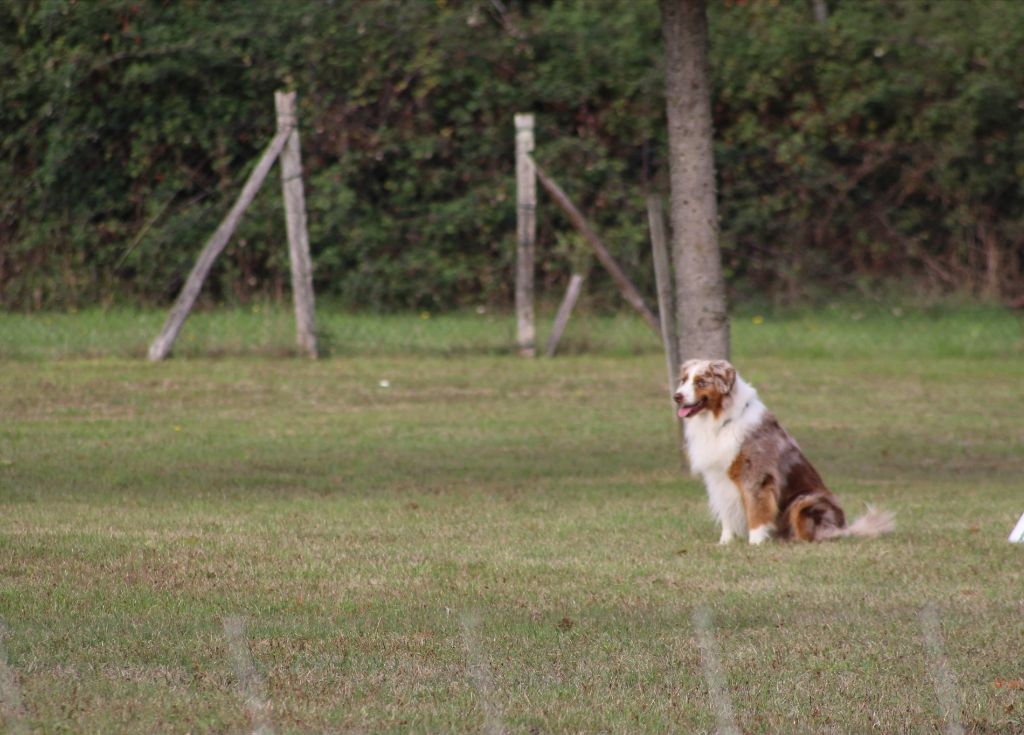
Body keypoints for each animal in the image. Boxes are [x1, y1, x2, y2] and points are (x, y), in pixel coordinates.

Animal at [671, 360, 888, 544]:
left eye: (700, 382)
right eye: (683, 380)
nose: (676, 396)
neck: (723, 421)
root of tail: (845, 528)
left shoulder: (756, 477)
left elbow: (756, 511)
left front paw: (755, 543)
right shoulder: (717, 479)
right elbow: (727, 513)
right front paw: (725, 543)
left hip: (804, 500)